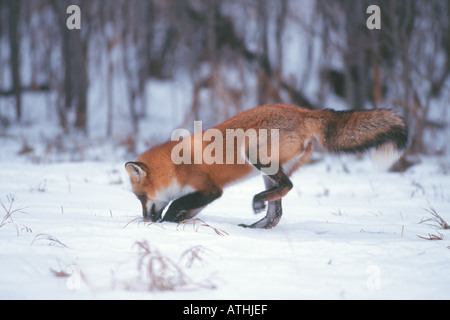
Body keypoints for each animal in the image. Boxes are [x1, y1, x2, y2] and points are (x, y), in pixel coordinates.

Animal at [125, 104, 408, 229]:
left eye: (140, 197)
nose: (146, 219)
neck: (175, 166)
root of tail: (303, 111)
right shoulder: (204, 195)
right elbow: (186, 207)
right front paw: (173, 221)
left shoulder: (210, 189)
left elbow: (176, 203)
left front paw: (166, 222)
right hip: (268, 171)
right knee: (277, 211)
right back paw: (257, 227)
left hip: (256, 156)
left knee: (287, 186)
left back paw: (257, 203)